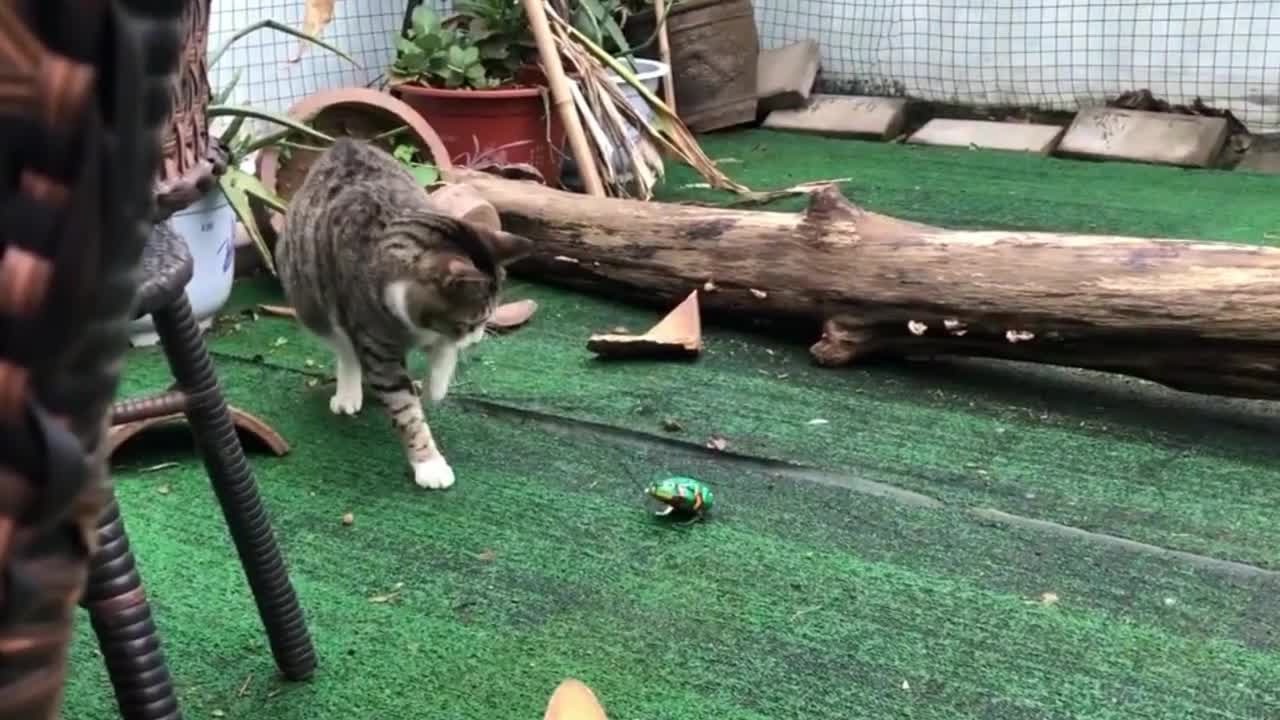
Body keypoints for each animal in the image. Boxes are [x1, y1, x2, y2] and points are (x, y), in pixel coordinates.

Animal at [277, 135, 532, 486]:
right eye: (474, 322)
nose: (477, 337)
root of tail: (343, 143)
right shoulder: (379, 349)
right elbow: (406, 411)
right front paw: (429, 464)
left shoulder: (440, 338)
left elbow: (440, 368)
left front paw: (431, 389)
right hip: (310, 301)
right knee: (343, 346)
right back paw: (348, 392)